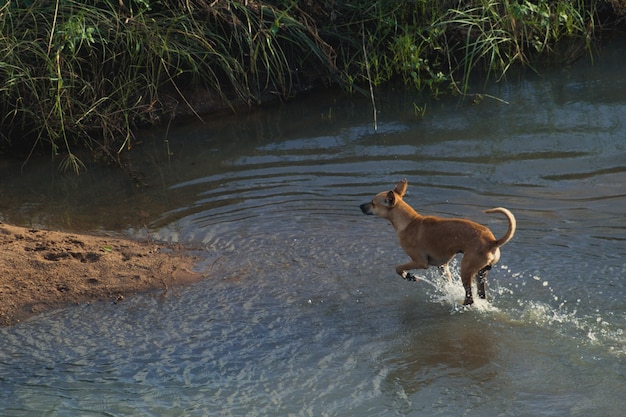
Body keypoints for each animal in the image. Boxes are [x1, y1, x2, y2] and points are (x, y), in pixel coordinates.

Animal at [358, 177, 516, 304]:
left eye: (372, 203)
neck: (410, 222)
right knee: (481, 295)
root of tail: (492, 242)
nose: (360, 206)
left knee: (470, 298)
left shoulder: (420, 262)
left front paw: (408, 276)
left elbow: (398, 268)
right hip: (480, 273)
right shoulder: (443, 266)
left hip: (466, 270)